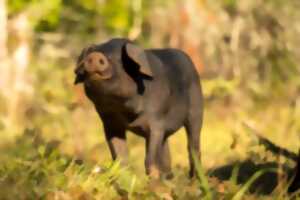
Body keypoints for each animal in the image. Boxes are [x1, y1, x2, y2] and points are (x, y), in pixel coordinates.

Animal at [74, 38, 203, 177]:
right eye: (94, 52)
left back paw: (194, 179)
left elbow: (150, 158)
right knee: (166, 151)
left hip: (197, 110)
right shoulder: (110, 124)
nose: (95, 55)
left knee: (193, 145)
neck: (124, 109)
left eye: (120, 60)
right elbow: (120, 156)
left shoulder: (156, 122)